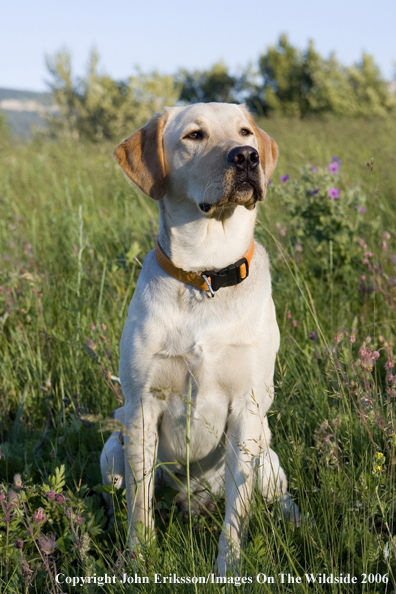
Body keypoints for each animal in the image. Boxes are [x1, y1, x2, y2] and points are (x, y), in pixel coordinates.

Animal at [100, 103, 298, 572]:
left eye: (244, 132)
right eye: (194, 135)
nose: (247, 157)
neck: (206, 276)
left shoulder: (247, 409)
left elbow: (236, 516)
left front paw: (229, 569)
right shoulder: (141, 407)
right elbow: (140, 506)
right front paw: (140, 561)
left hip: (267, 454)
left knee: (276, 496)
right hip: (112, 445)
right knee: (120, 491)